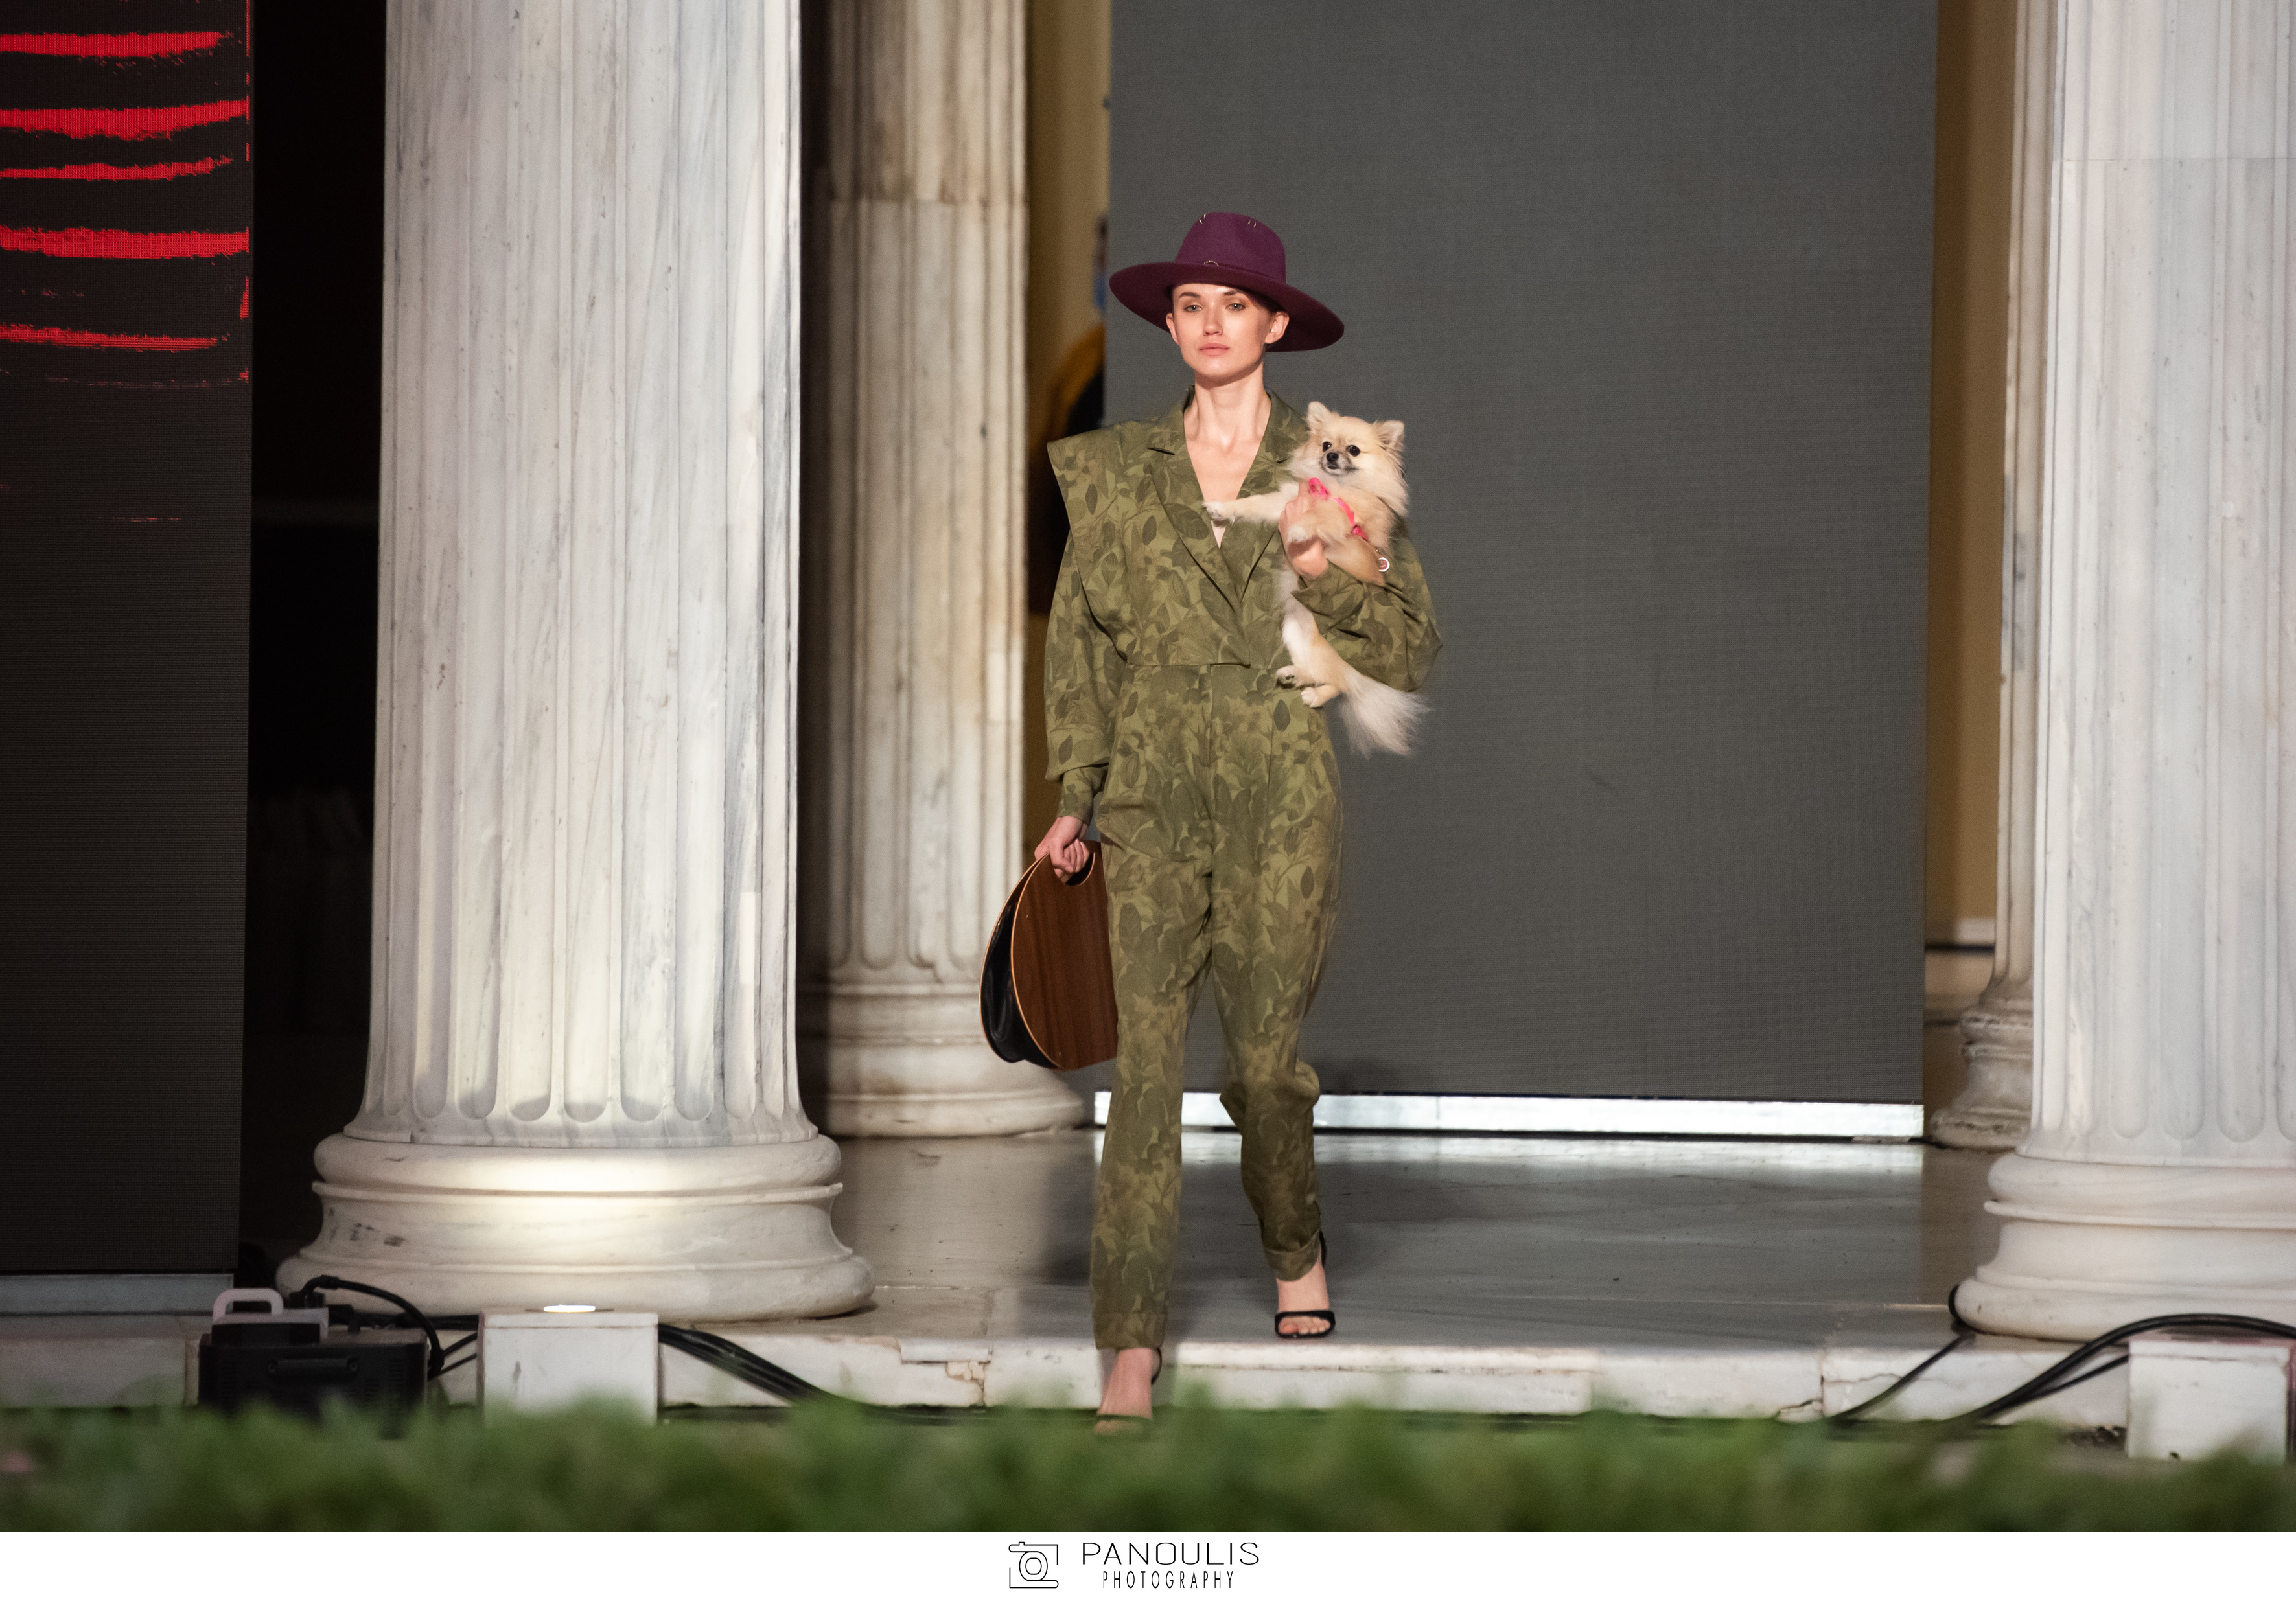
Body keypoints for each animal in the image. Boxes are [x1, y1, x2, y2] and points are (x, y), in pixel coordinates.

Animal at [1205, 401, 1426, 755]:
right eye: (1326, 445)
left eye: (1353, 450)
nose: (1332, 456)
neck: (1332, 486)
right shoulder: (1283, 502)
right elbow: (1254, 503)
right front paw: (1223, 508)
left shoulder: (1342, 514)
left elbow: (1319, 515)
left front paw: (1298, 530)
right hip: (1293, 632)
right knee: (1320, 673)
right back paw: (1295, 676)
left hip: (1333, 654)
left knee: (1344, 684)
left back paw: (1314, 694)